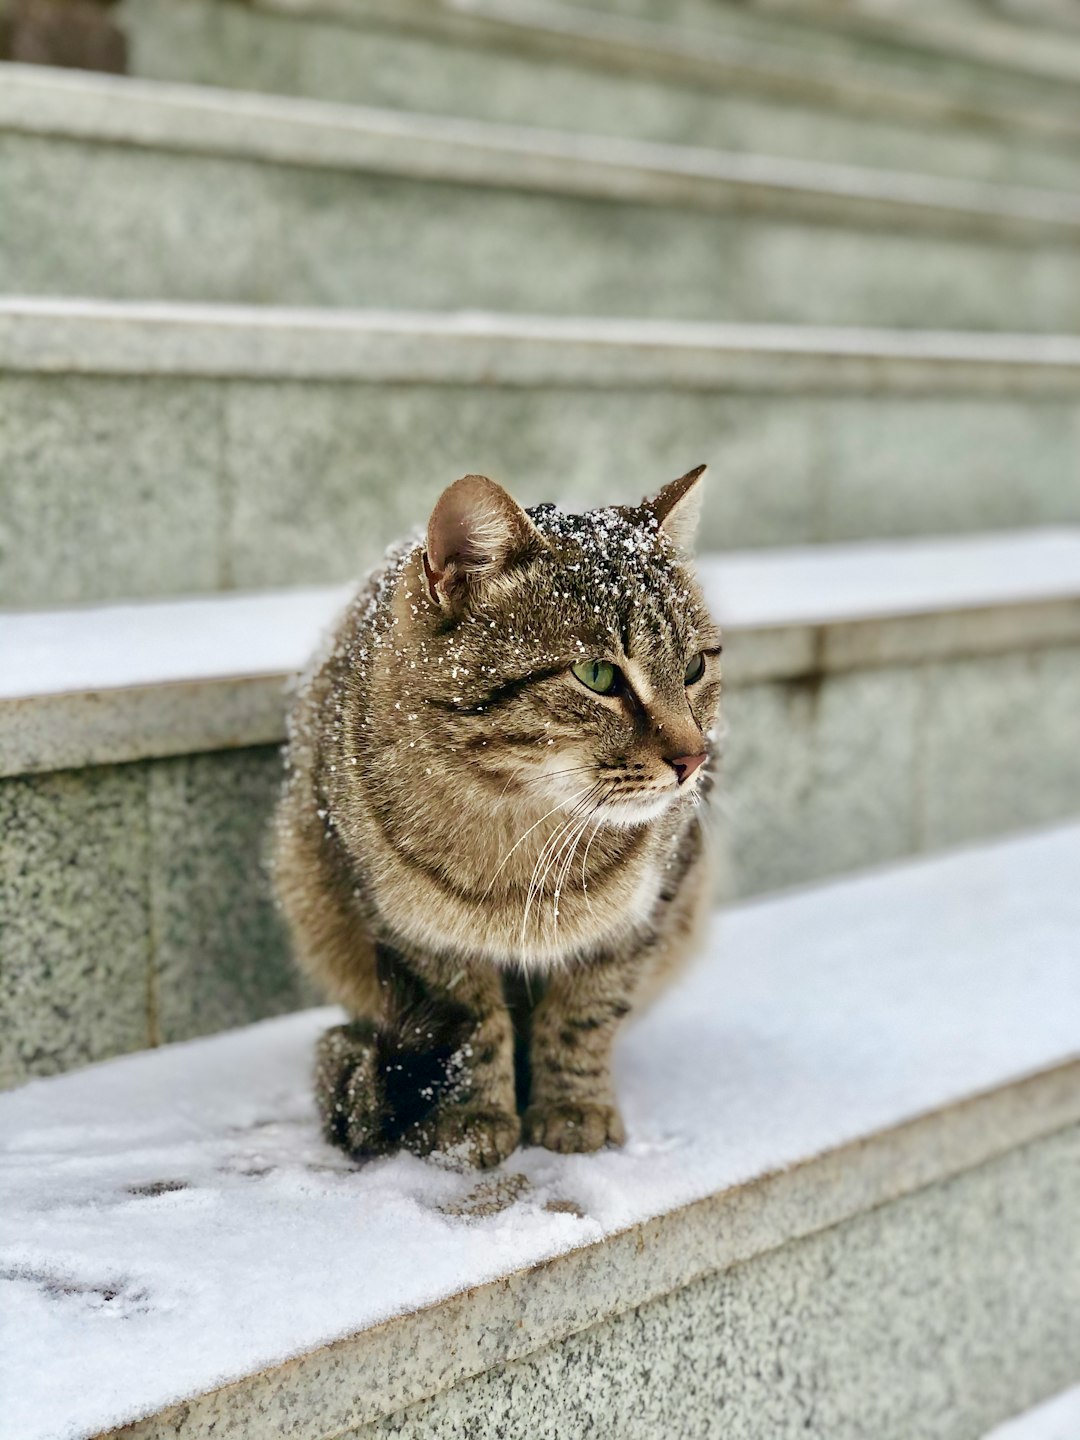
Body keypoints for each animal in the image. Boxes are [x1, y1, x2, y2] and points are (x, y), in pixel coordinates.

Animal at [275, 469, 722, 1169]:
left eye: (695, 668)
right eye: (598, 674)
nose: (694, 758)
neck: (518, 825)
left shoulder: (647, 909)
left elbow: (584, 1015)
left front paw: (574, 1107)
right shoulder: (415, 933)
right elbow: (473, 1028)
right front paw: (471, 1121)